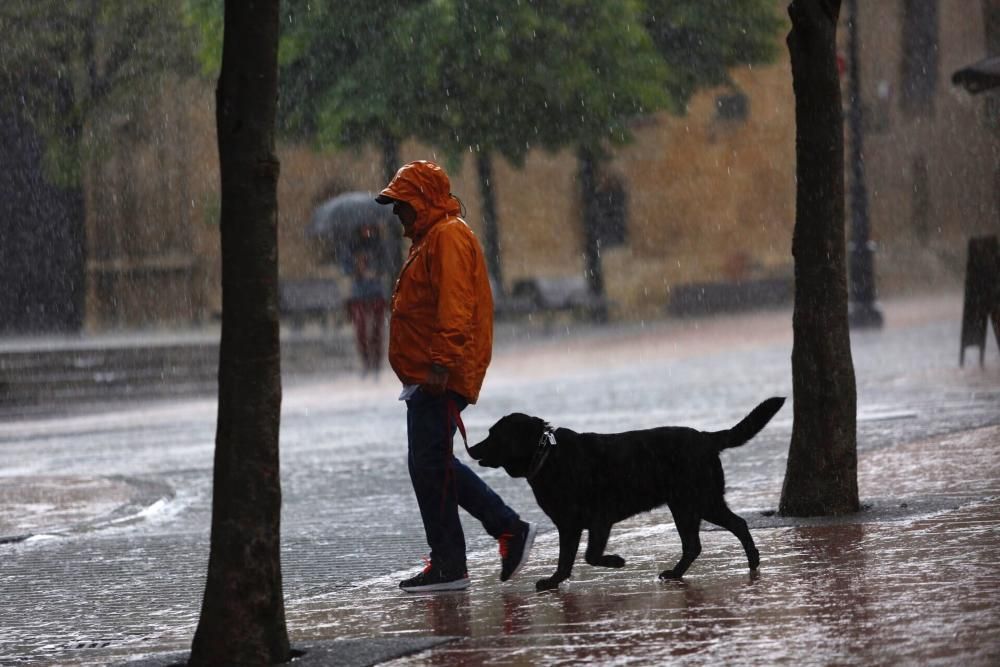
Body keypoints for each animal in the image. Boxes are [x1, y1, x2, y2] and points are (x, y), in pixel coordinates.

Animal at [470, 396, 788, 588]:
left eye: (493, 435)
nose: (470, 448)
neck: (547, 456)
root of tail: (706, 437)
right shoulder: (569, 525)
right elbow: (566, 559)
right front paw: (554, 581)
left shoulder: (598, 520)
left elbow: (589, 556)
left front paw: (616, 561)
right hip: (691, 503)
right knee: (705, 539)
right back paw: (685, 572)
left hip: (696, 501)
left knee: (727, 529)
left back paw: (747, 562)